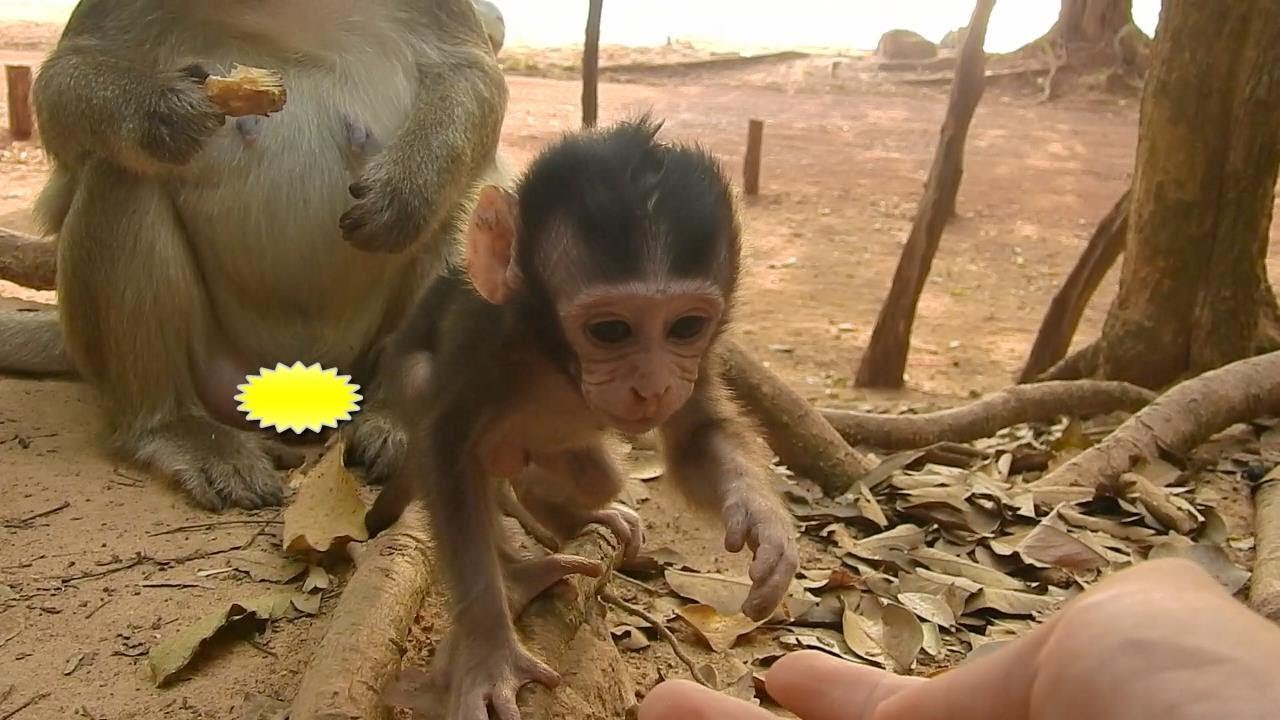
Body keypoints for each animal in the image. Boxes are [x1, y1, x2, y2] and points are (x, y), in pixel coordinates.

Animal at [0, 0, 507, 510]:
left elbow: (470, 72)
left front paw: (409, 189)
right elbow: (65, 80)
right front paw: (160, 112)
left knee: (467, 201)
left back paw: (400, 421)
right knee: (122, 171)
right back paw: (172, 426)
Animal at [364, 117, 800, 720]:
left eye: (686, 327)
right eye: (611, 331)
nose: (653, 386)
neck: (556, 360)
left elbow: (696, 435)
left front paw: (763, 520)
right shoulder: (487, 340)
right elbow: (446, 448)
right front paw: (490, 650)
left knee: (595, 474)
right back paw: (519, 572)